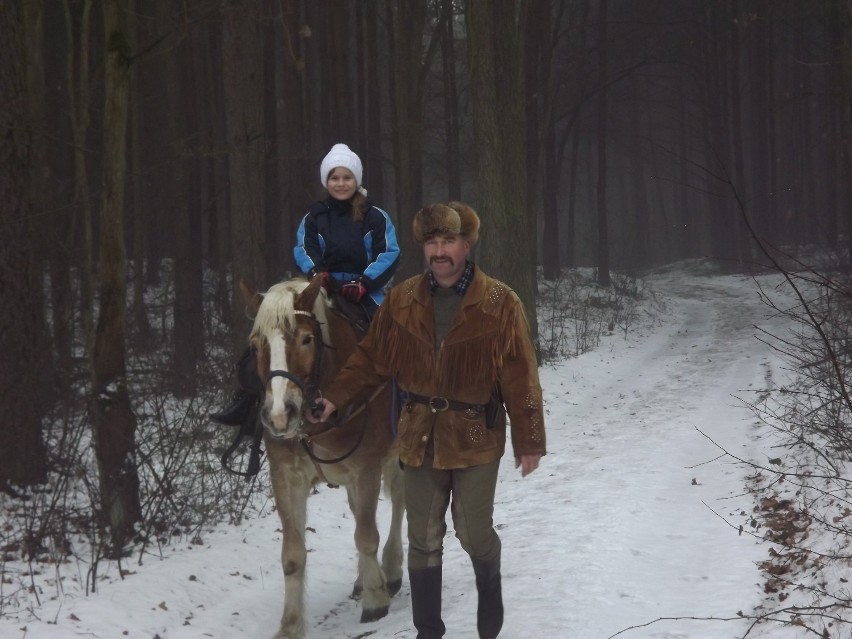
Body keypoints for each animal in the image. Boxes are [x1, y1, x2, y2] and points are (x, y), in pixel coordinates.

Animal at [240, 276, 406, 639]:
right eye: (256, 345)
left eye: (306, 339)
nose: (279, 415)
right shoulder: (286, 478)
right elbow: (292, 555)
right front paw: (290, 625)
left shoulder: (365, 470)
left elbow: (366, 536)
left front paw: (376, 600)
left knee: (400, 505)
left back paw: (390, 570)